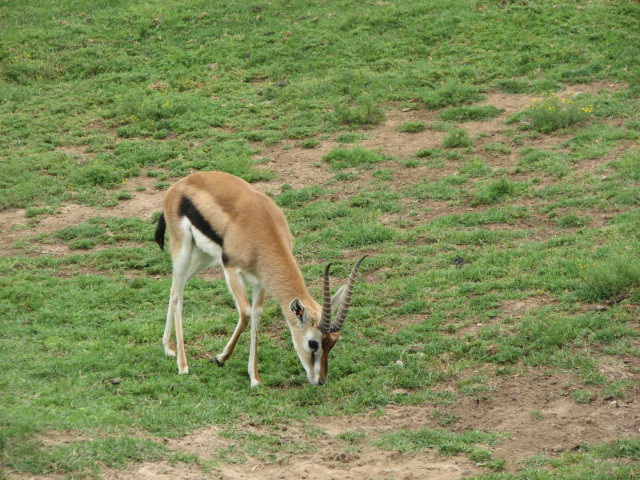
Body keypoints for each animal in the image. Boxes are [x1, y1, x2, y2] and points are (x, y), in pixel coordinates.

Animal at [154, 171, 366, 387]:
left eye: (333, 342)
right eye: (312, 343)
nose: (320, 380)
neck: (263, 229)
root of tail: (182, 183)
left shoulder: (260, 281)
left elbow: (256, 315)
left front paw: (254, 378)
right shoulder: (231, 270)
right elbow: (246, 313)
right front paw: (221, 358)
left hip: (204, 258)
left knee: (174, 287)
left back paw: (168, 347)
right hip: (183, 251)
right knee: (177, 296)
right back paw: (182, 365)